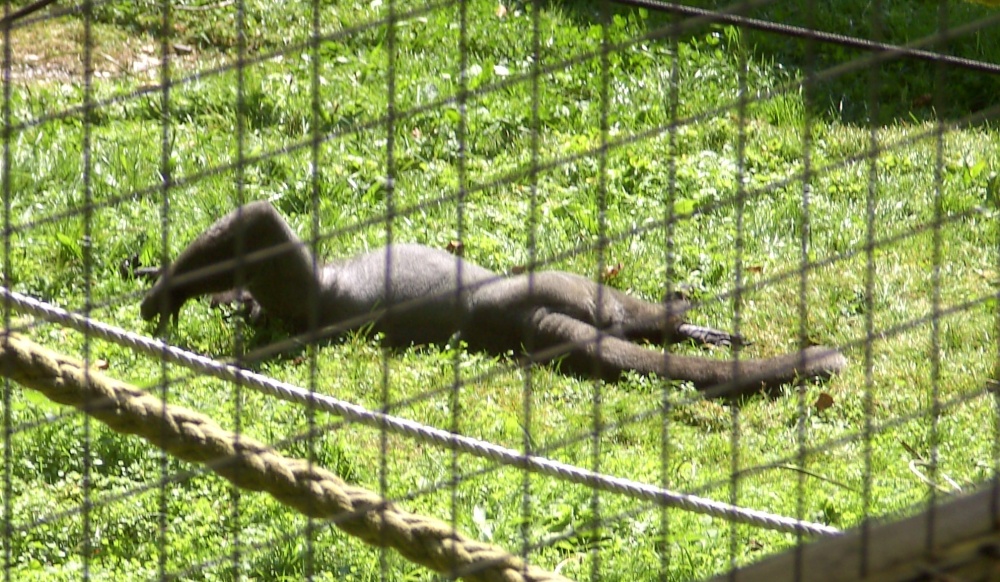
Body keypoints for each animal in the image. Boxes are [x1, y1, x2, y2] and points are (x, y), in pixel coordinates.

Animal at [140, 201, 846, 398]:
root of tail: (512, 321)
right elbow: (258, 221)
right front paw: (167, 291)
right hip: (553, 287)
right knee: (623, 313)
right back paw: (678, 320)